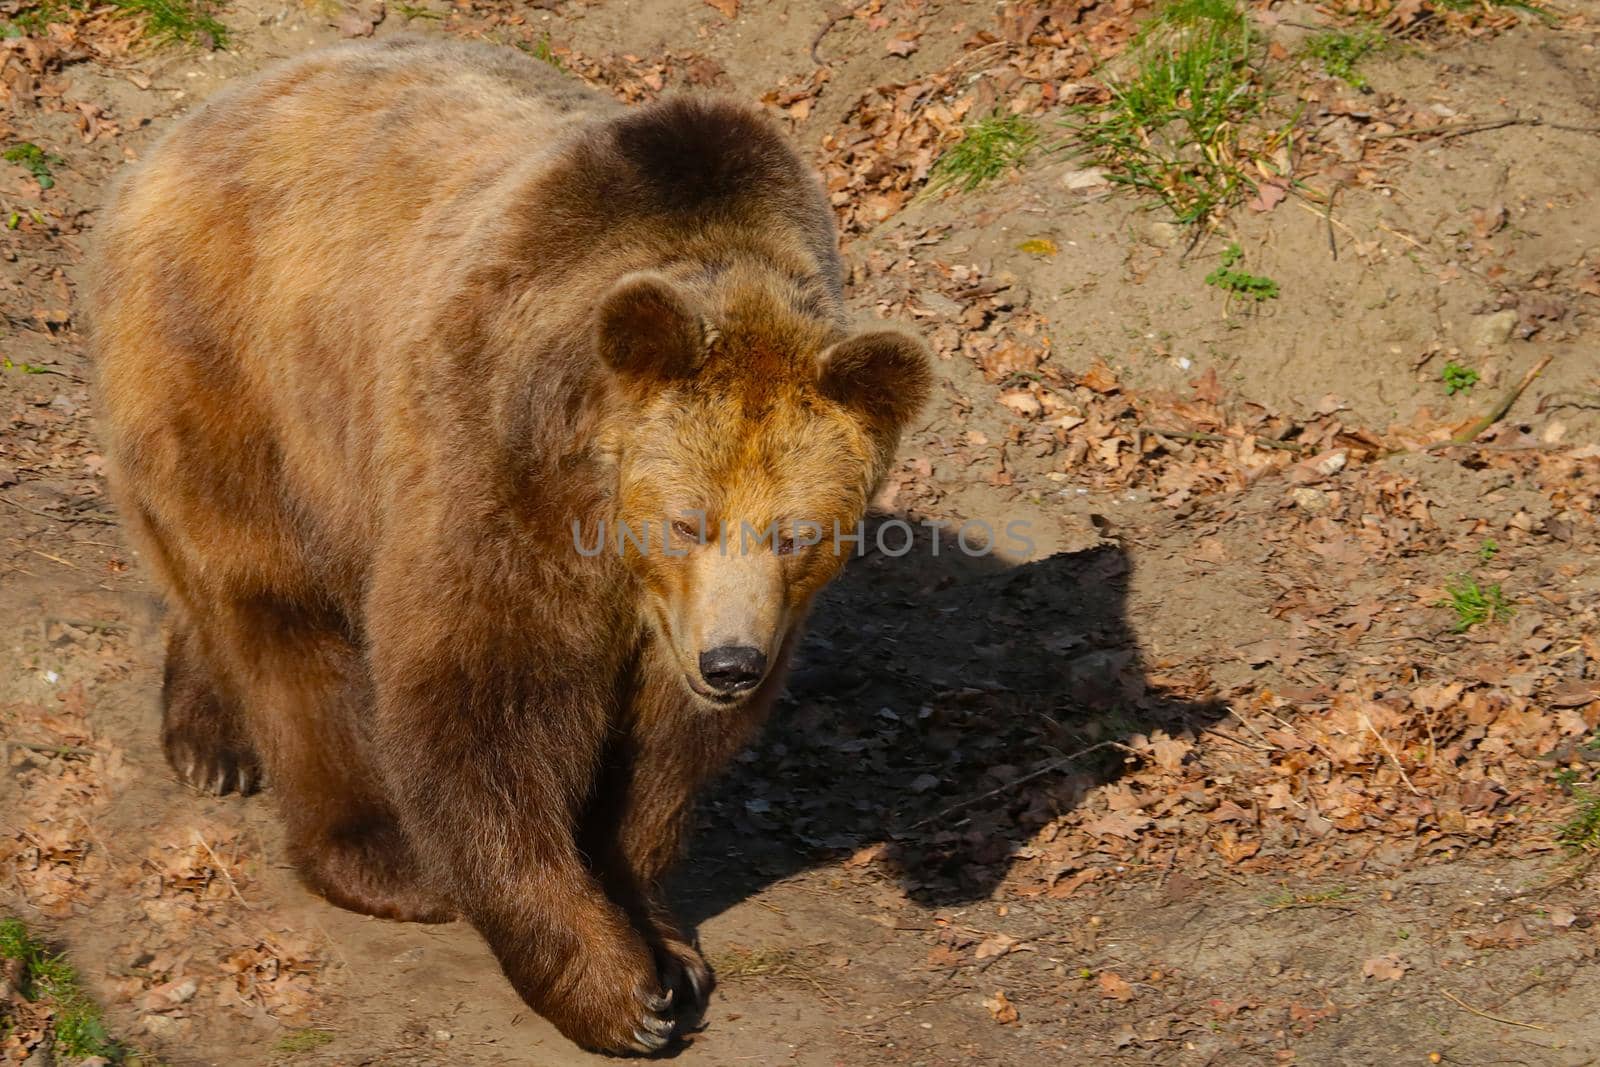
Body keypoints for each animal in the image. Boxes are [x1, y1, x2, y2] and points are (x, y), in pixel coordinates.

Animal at [87, 35, 934, 1062]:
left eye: (797, 533)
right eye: (688, 519)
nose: (731, 663)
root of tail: (190, 122)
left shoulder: (701, 618)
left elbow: (660, 756)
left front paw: (663, 943)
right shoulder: (497, 460)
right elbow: (481, 699)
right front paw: (615, 989)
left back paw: (211, 734)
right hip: (238, 360)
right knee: (275, 604)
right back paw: (368, 847)